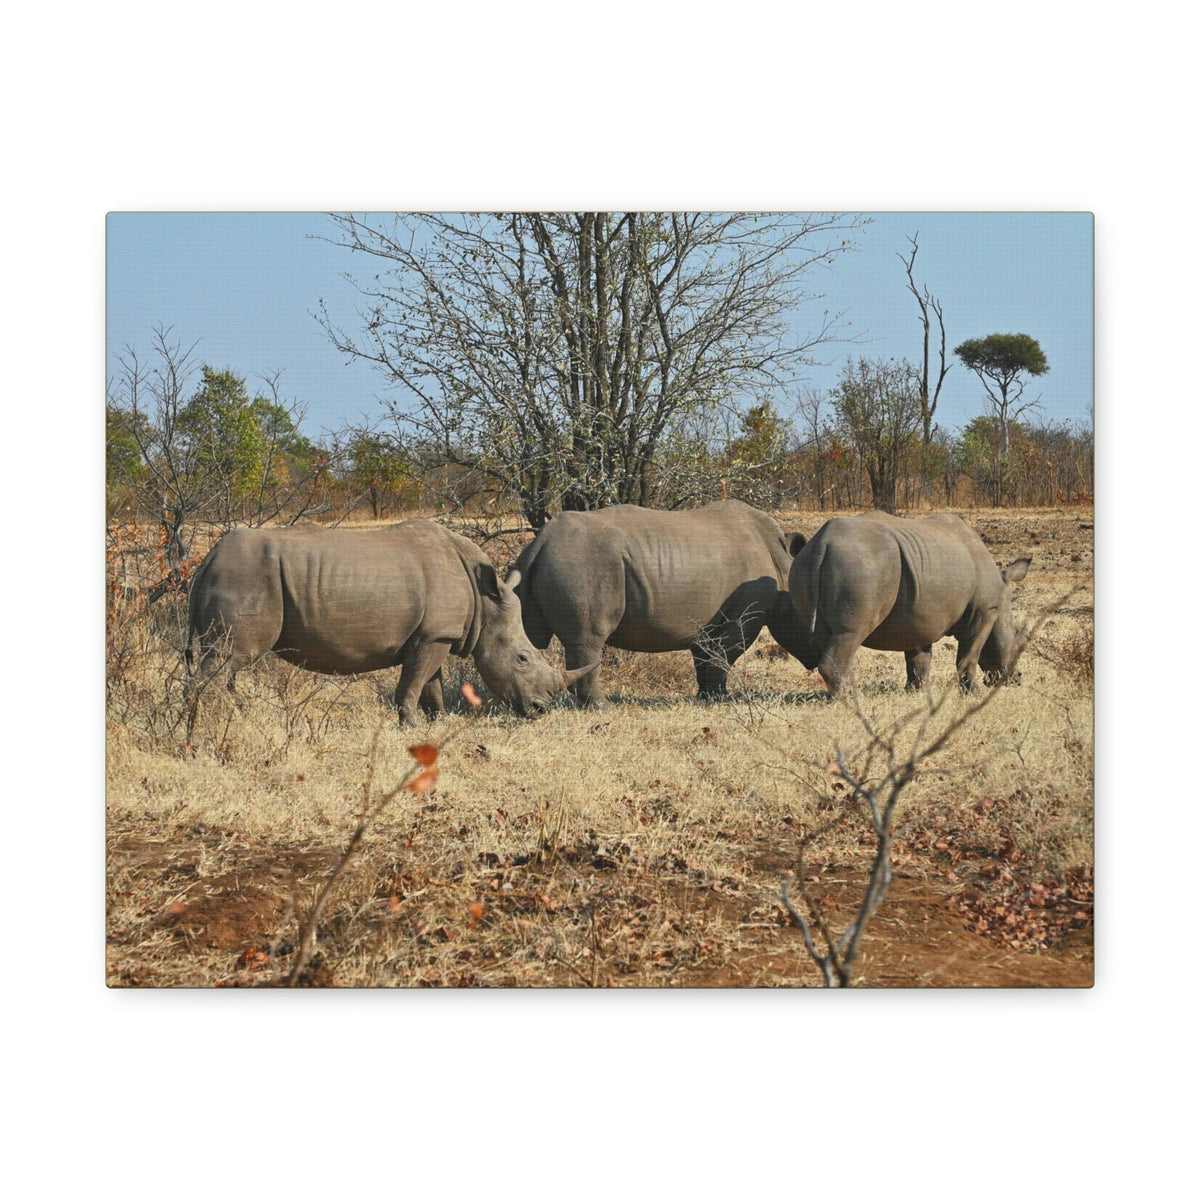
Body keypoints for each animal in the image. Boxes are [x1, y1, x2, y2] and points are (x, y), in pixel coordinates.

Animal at [186, 521, 589, 725]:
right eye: (523, 658)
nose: (541, 710)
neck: (485, 601)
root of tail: (208, 559)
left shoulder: (436, 634)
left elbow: (431, 684)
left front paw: (438, 723)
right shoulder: (434, 636)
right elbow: (412, 684)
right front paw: (409, 726)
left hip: (237, 575)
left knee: (225, 663)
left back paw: (234, 719)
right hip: (247, 577)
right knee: (229, 659)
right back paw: (214, 726)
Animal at [511, 500, 808, 707]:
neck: (783, 567)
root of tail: (541, 540)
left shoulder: (706, 621)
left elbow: (705, 657)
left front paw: (706, 697)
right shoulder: (745, 614)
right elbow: (725, 653)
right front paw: (720, 699)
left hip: (547, 563)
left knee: (531, 637)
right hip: (583, 563)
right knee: (588, 641)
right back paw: (603, 708)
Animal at [787, 511, 1031, 696]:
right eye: (1016, 643)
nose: (1018, 678)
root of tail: (822, 543)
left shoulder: (920, 617)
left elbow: (919, 659)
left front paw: (918, 692)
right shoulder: (984, 613)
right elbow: (968, 656)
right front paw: (974, 694)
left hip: (805, 564)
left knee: (828, 635)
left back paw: (843, 695)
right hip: (860, 565)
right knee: (850, 632)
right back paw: (853, 700)